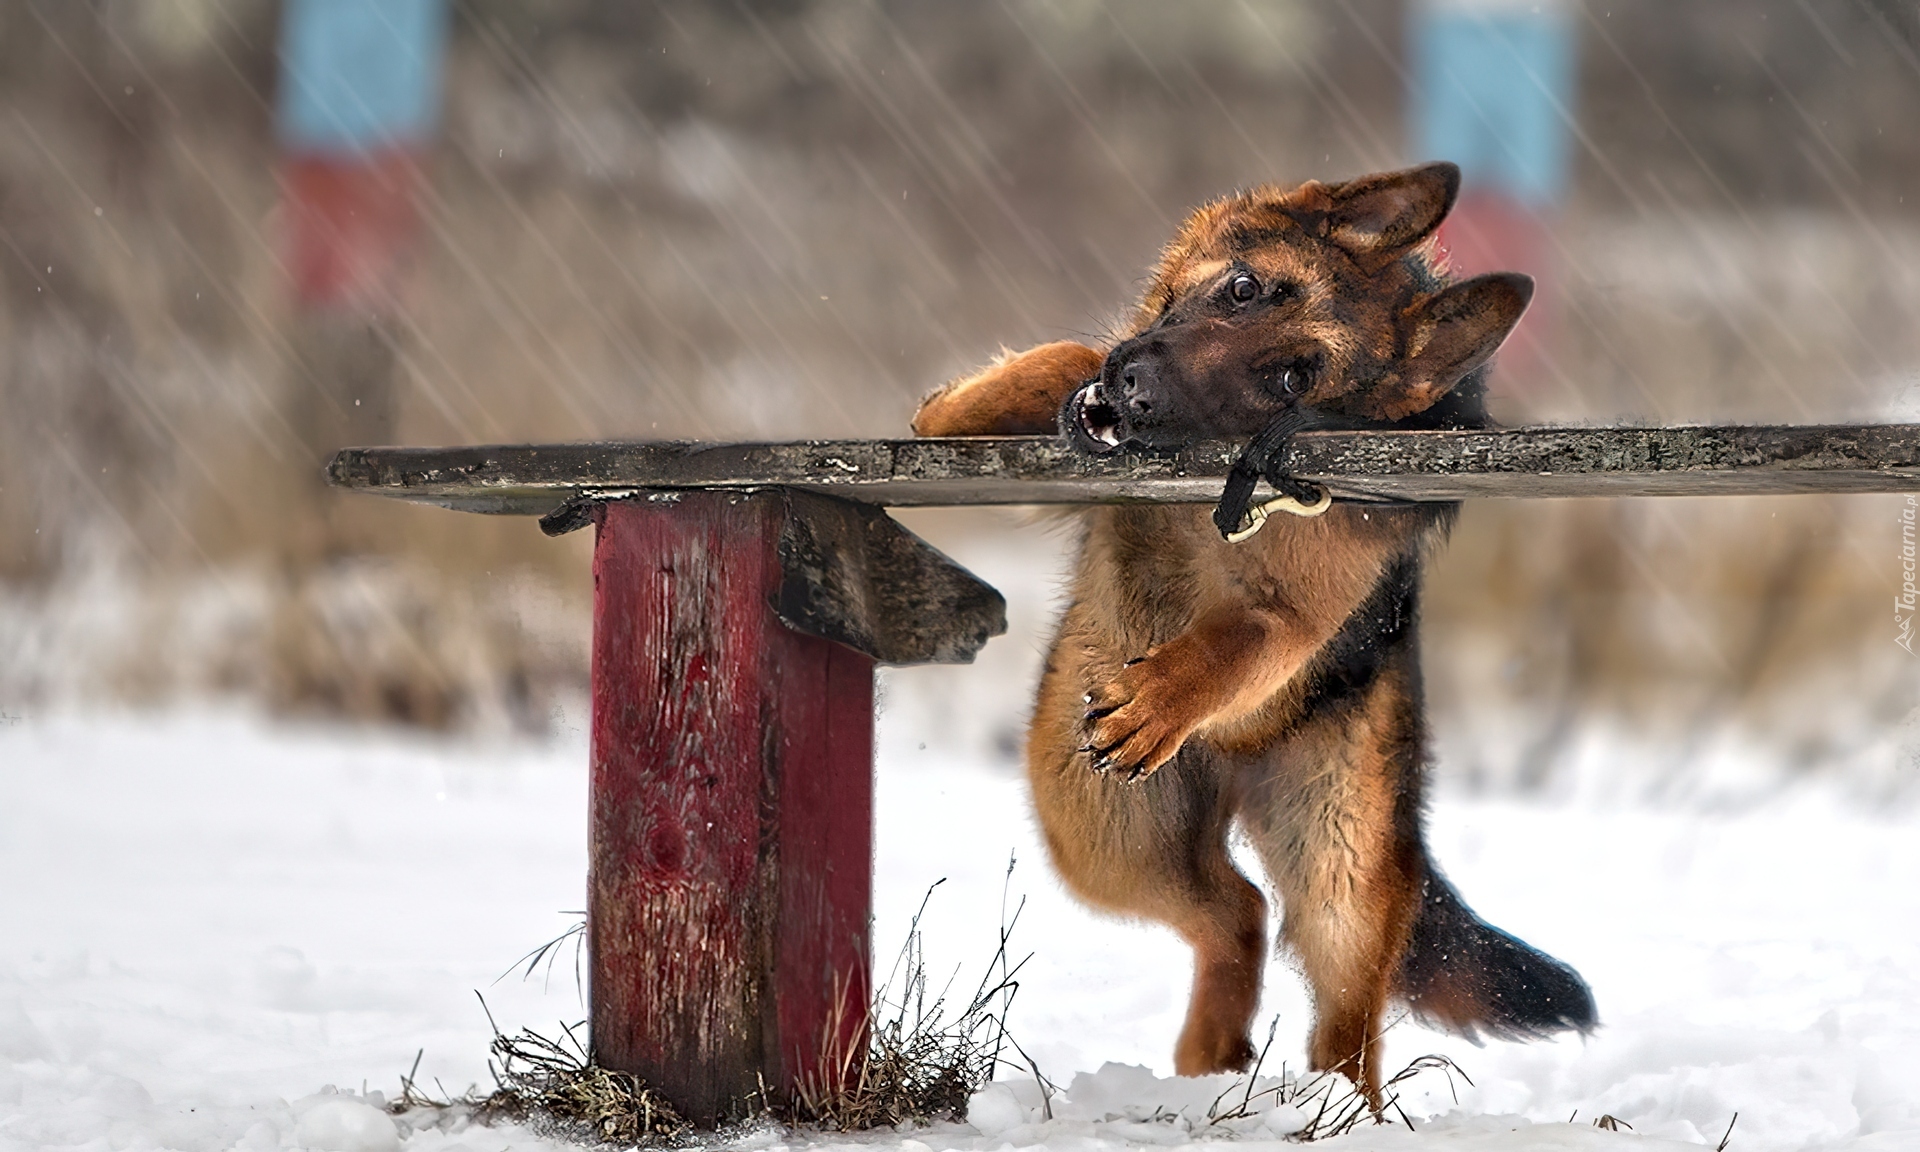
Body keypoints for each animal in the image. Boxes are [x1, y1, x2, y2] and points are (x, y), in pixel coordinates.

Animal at [910, 162, 1589, 1098]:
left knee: (1336, 999)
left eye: (1292, 384)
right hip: (1104, 828)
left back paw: (1326, 1109)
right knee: (1237, 910)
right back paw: (1212, 1058)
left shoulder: (1293, 619)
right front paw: (963, 405)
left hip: (1336, 862)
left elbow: (1241, 641)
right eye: (1241, 290)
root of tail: (1233, 761)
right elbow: (1068, 358)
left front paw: (1160, 700)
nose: (1138, 392)